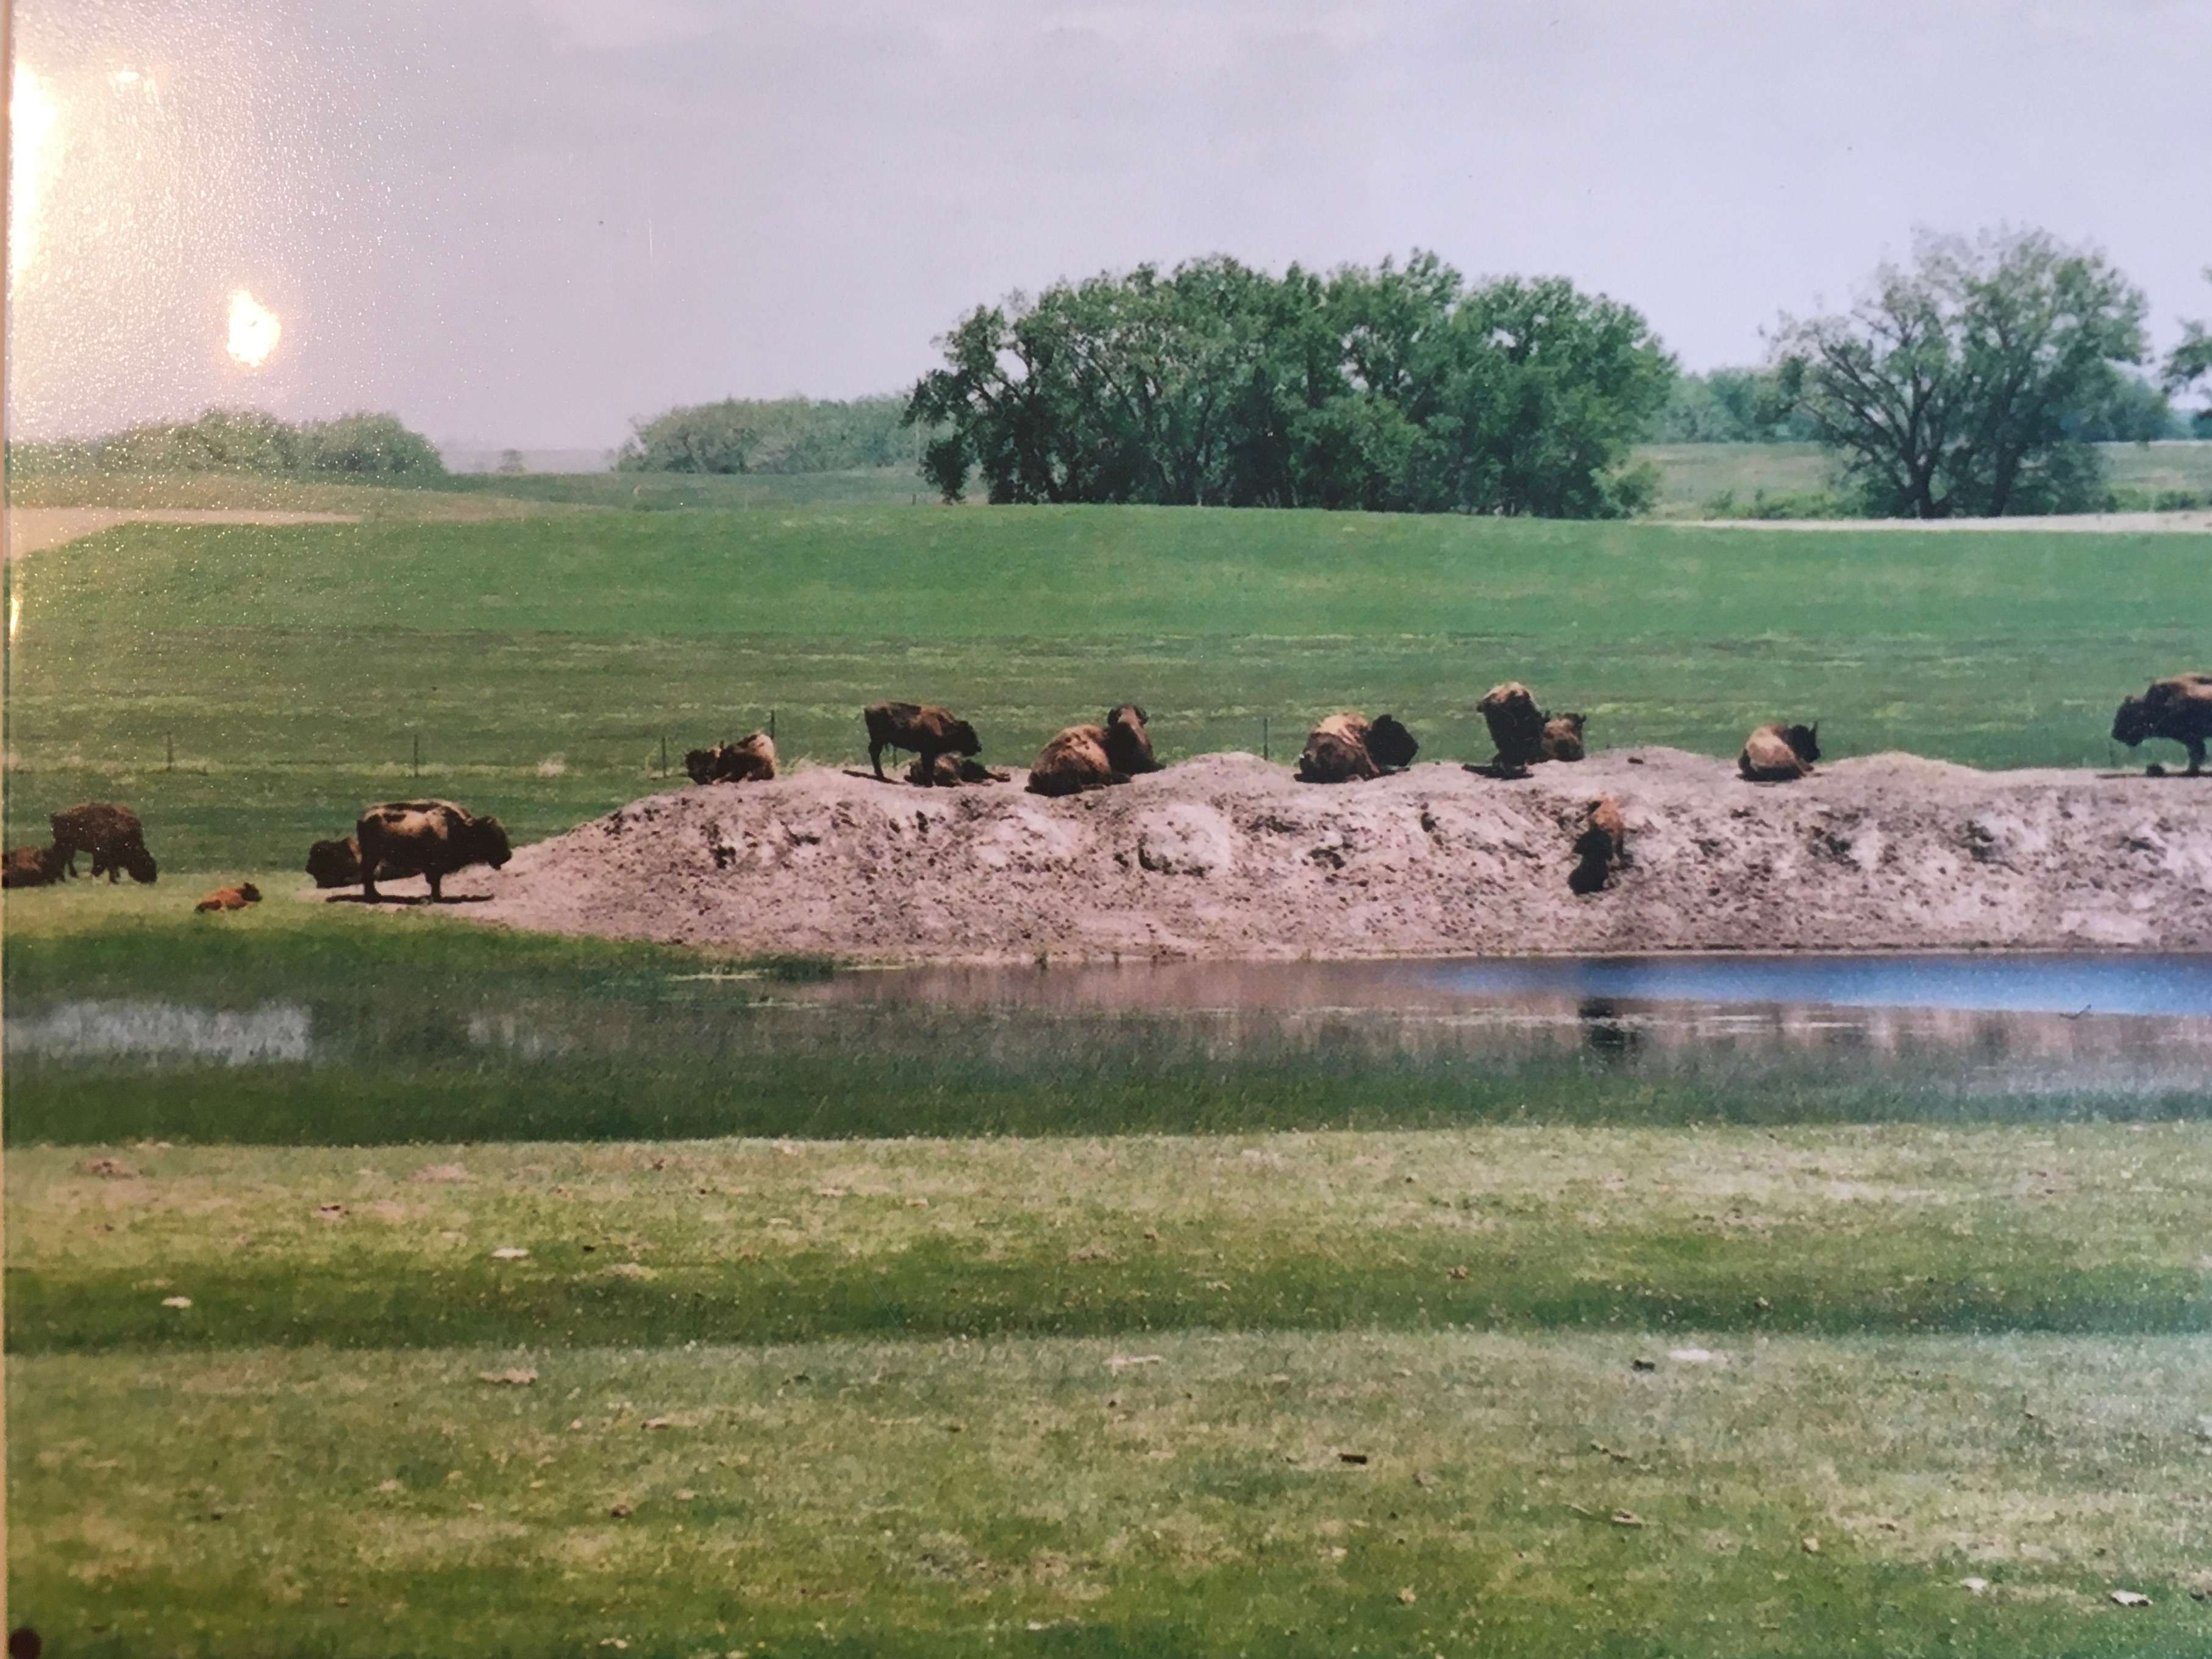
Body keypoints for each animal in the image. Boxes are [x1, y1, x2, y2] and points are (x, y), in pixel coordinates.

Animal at [50, 803, 157, 884]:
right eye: (146, 864)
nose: (153, 879)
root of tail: (56, 815)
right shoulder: (103, 853)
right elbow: (109, 866)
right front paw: (113, 880)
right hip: (67, 845)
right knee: (67, 859)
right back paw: (72, 875)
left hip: (68, 845)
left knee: (66, 859)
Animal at [355, 799, 512, 902]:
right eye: (490, 835)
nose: (508, 856)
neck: (456, 827)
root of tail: (365, 816)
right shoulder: (434, 866)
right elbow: (435, 881)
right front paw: (437, 897)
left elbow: (435, 881)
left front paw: (437, 896)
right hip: (372, 856)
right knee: (368, 874)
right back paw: (373, 898)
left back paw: (376, 896)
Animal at [864, 702, 982, 785]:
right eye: (970, 735)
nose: (979, 747)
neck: (942, 725)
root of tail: (868, 709)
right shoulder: (928, 752)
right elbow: (928, 767)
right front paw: (930, 782)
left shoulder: (929, 753)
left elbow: (929, 767)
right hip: (878, 741)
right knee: (874, 754)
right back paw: (881, 777)